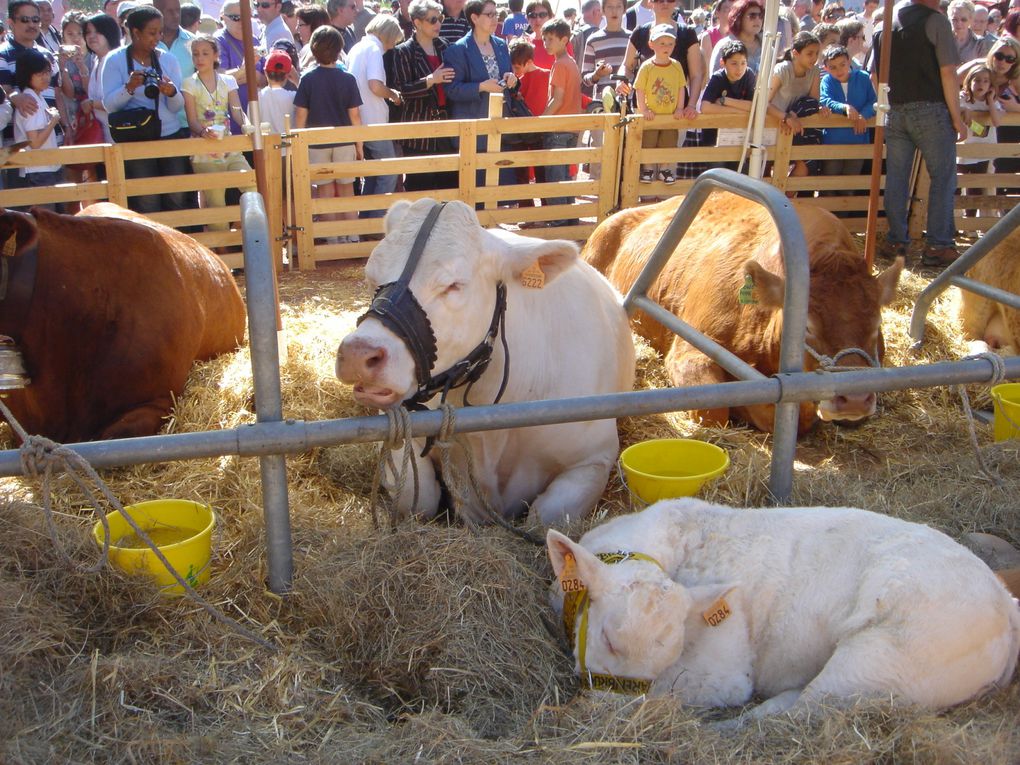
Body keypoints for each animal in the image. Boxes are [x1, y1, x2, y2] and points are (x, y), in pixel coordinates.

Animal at [550, 499, 1020, 722]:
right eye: (609, 639)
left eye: (668, 657)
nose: (609, 710)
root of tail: (1005, 604)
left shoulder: (722, 673)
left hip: (882, 663)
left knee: (795, 712)